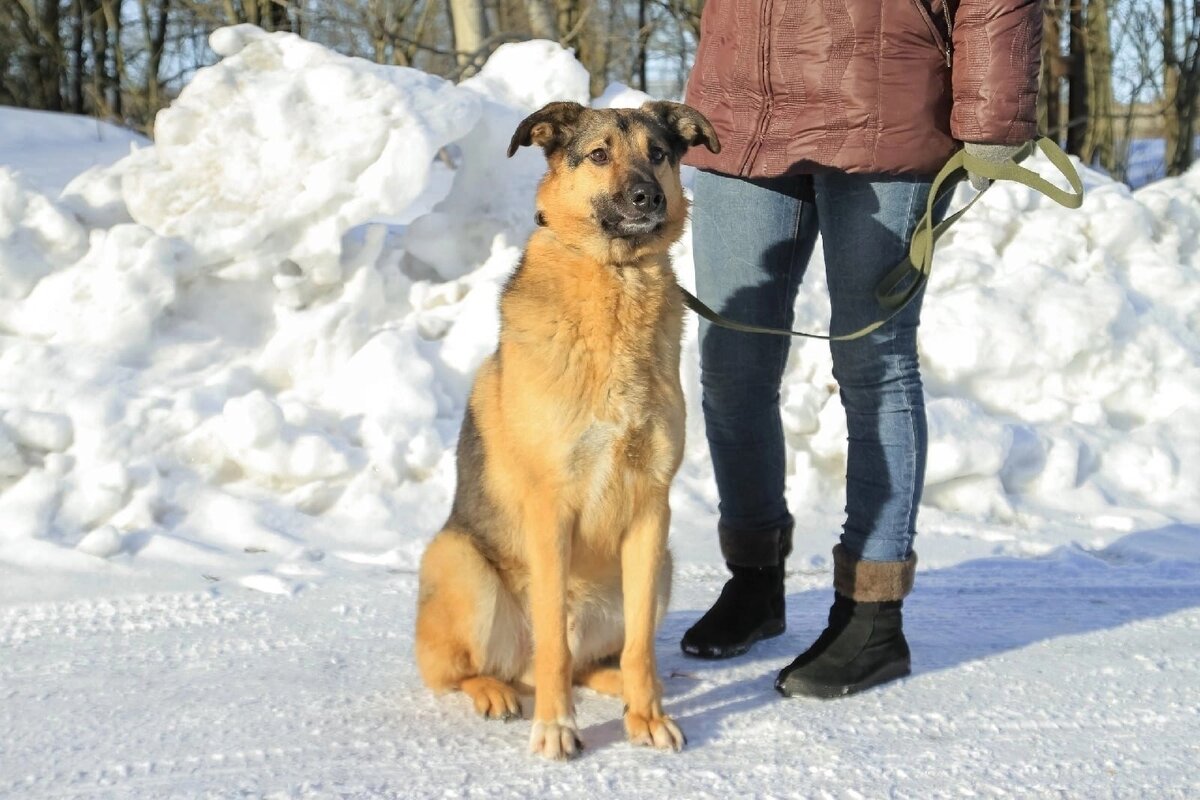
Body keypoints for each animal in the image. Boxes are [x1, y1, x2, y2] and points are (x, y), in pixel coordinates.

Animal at [417, 97, 715, 762]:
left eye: (659, 154)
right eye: (599, 154)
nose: (647, 197)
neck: (617, 280)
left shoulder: (652, 509)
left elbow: (640, 644)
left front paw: (647, 715)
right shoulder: (550, 508)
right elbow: (552, 638)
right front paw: (556, 727)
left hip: (662, 566)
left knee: (599, 658)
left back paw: (626, 689)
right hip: (461, 564)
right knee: (467, 669)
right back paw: (495, 692)